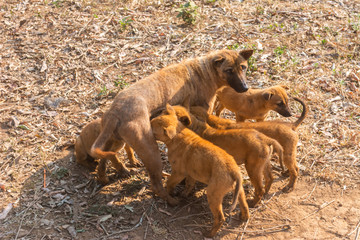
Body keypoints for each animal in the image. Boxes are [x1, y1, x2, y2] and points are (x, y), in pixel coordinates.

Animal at [89, 48, 253, 204]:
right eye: (229, 70)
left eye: (243, 67)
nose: (245, 88)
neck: (205, 71)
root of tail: (114, 112)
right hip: (151, 152)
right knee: (156, 186)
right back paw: (172, 201)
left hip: (114, 141)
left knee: (104, 160)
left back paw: (109, 176)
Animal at [150, 104, 249, 237]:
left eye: (153, 131)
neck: (178, 133)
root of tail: (233, 171)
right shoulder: (191, 171)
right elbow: (189, 184)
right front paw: (184, 194)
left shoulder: (179, 172)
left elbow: (170, 182)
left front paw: (172, 193)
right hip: (239, 191)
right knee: (244, 204)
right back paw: (244, 217)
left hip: (213, 194)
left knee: (220, 217)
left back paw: (209, 234)